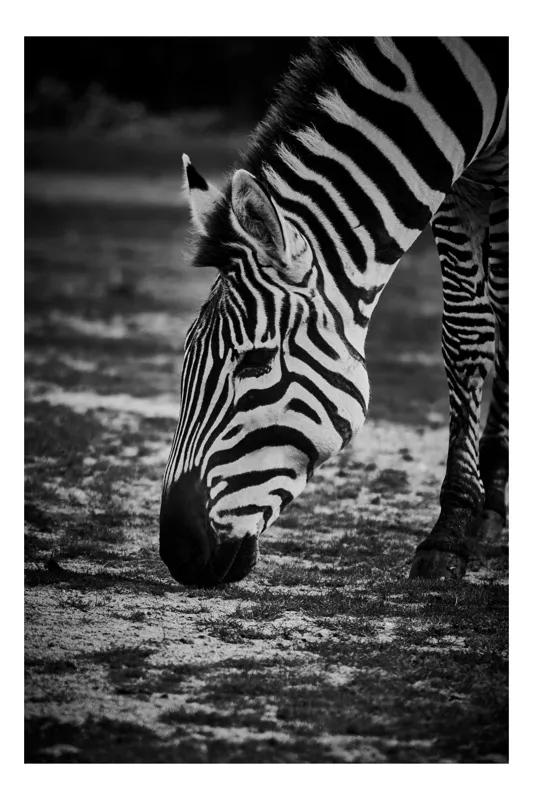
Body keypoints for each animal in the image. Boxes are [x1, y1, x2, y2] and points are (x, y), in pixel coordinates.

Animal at [160, 37, 508, 587]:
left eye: (256, 362)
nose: (178, 550)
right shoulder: (461, 182)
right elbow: (468, 329)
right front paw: (458, 525)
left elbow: (483, 325)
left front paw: (452, 529)